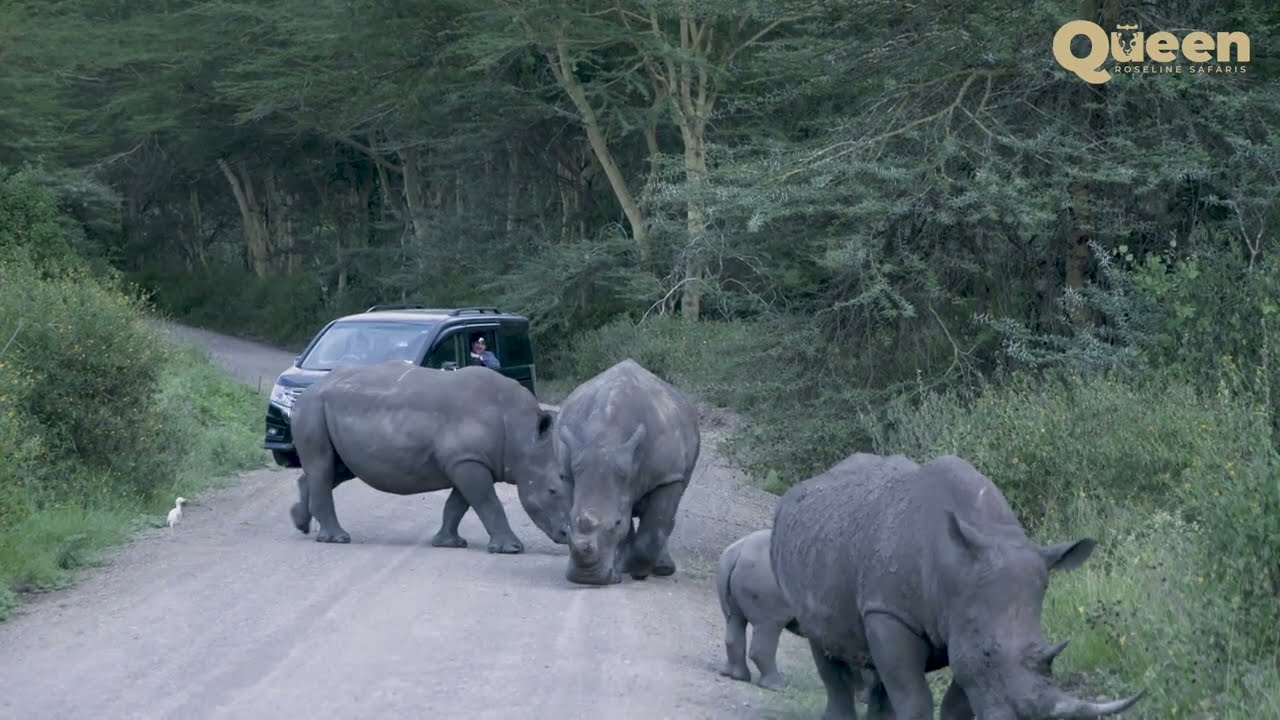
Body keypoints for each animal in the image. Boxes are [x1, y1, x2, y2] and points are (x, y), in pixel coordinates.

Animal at [288, 361, 570, 552]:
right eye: (552, 490)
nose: (568, 535)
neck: (522, 436)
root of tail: (308, 389)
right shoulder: (468, 460)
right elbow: (487, 502)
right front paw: (510, 549)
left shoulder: (465, 461)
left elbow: (458, 504)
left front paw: (449, 543)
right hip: (312, 406)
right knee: (323, 466)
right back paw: (337, 538)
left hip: (329, 410)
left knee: (336, 470)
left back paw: (300, 522)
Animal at [556, 359, 701, 586]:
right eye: (570, 520)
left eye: (616, 522)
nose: (587, 578)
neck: (605, 439)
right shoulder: (569, 475)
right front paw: (625, 567)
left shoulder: (667, 477)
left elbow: (651, 529)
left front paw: (639, 571)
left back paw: (663, 569)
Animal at [770, 452, 1143, 720]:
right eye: (989, 653)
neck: (954, 569)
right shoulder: (890, 611)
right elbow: (915, 697)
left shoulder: (964, 618)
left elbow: (956, 697)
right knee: (821, 643)